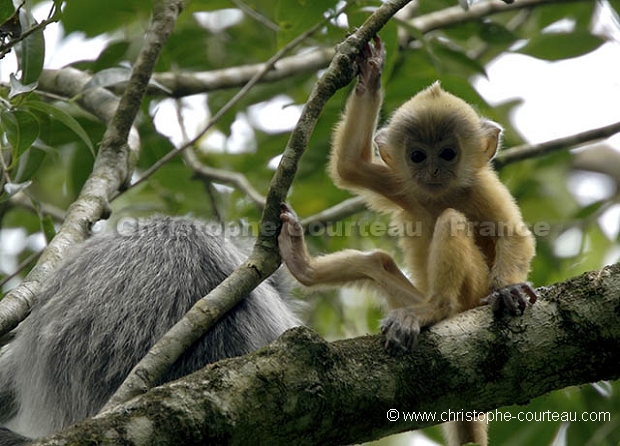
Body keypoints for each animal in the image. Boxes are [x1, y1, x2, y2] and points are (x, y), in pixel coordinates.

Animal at [278, 37, 536, 446]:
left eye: (447, 153)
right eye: (417, 155)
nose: (432, 169)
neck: (440, 194)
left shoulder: (482, 187)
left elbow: (514, 235)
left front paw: (509, 289)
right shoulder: (403, 184)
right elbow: (349, 166)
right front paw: (369, 74)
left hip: (472, 294)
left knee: (451, 223)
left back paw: (435, 309)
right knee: (375, 263)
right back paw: (302, 265)